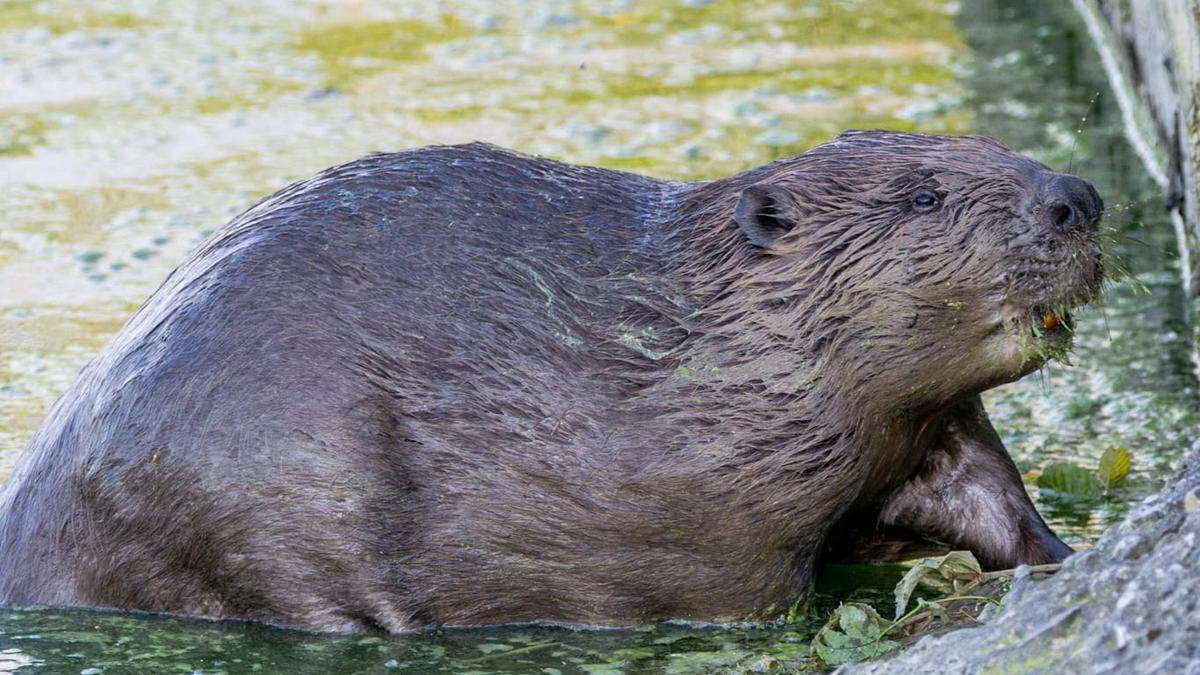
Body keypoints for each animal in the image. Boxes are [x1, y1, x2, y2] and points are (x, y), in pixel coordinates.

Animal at [0, 130, 1099, 629]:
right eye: (924, 196)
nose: (1078, 197)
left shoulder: (918, 420)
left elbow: (983, 488)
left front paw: (1065, 554)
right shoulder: (701, 520)